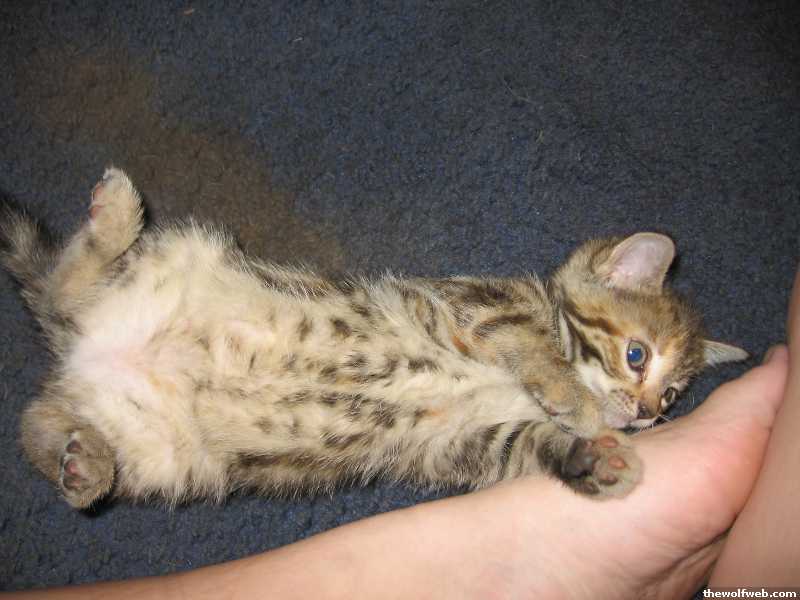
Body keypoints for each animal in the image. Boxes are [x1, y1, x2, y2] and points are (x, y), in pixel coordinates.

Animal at [0, 168, 747, 509]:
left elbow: (532, 445)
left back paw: (82, 464)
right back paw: (115, 218)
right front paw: (577, 400)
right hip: (172, 261)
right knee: (67, 282)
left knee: (35, 418)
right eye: (636, 356)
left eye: (674, 397)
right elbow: (531, 341)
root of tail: (87, 350)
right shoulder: (476, 305)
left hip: (158, 451)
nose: (646, 415)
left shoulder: (463, 441)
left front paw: (598, 461)